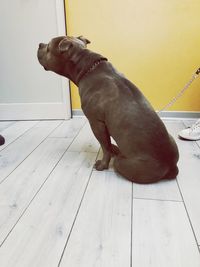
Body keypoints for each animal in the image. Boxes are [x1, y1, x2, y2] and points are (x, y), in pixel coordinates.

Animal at [38, 36, 179, 184]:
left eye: (48, 48)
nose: (40, 44)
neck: (89, 68)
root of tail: (170, 165)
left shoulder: (96, 123)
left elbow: (105, 147)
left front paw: (102, 164)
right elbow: (107, 144)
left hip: (123, 163)